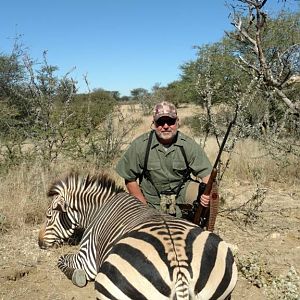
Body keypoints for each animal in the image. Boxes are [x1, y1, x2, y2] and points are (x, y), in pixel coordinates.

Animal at [38, 172, 238, 298]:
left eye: (48, 216)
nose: (39, 243)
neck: (98, 210)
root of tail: (180, 271)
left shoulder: (86, 259)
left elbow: (61, 260)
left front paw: (75, 275)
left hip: (108, 284)